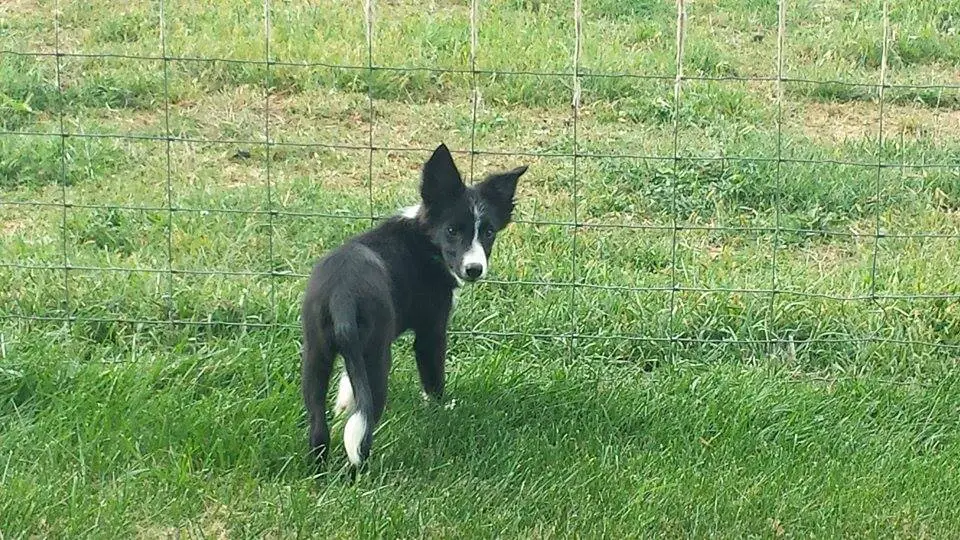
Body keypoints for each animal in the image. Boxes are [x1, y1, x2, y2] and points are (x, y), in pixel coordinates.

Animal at [302, 143, 528, 468]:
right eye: (452, 231)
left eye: (488, 232)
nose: (474, 269)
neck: (425, 238)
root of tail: (341, 296)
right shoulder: (431, 330)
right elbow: (433, 379)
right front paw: (442, 412)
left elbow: (348, 382)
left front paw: (344, 402)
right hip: (376, 358)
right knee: (363, 427)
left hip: (316, 355)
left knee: (318, 424)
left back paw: (318, 467)